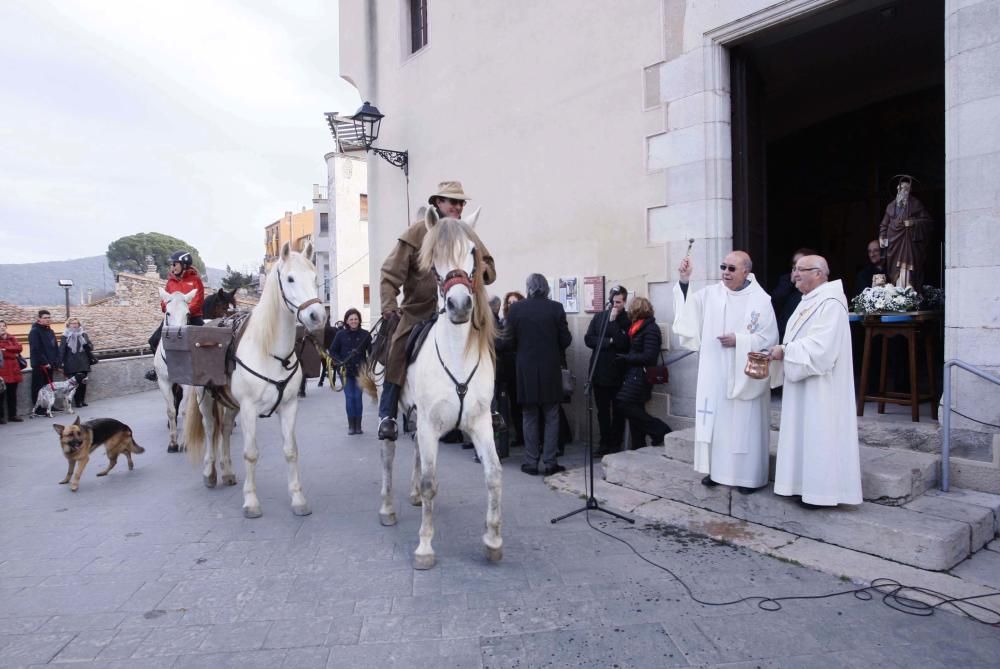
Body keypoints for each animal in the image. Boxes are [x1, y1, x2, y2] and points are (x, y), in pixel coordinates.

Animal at [186, 243, 326, 520]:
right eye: (290, 279)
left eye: (315, 278)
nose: (317, 315)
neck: (270, 352)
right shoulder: (249, 409)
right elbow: (250, 454)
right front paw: (251, 502)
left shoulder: (289, 406)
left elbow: (291, 451)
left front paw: (298, 499)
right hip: (204, 398)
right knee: (211, 429)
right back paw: (210, 473)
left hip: (231, 404)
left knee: (224, 430)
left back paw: (228, 471)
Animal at [374, 207, 504, 568]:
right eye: (433, 259)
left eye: (473, 252)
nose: (460, 305)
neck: (456, 354)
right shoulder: (431, 424)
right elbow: (430, 480)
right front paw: (425, 547)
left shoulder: (480, 424)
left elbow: (494, 475)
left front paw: (492, 540)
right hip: (397, 415)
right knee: (388, 453)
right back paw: (387, 508)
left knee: (417, 450)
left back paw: (414, 496)